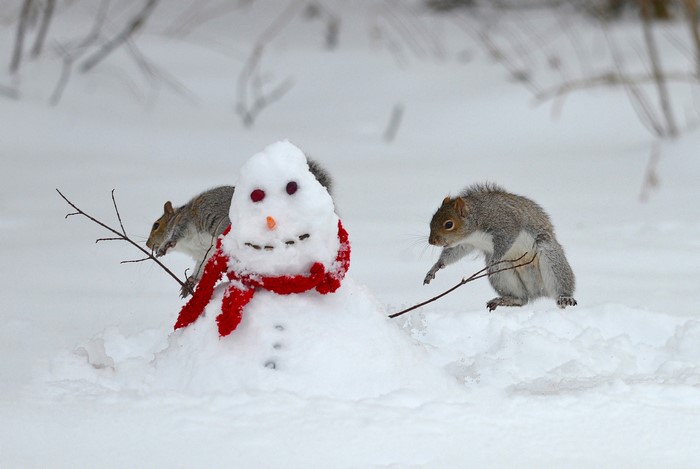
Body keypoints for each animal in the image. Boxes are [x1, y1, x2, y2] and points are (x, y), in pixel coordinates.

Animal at [147, 159, 333, 298]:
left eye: (156, 225)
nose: (148, 244)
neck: (187, 246)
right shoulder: (203, 254)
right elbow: (200, 267)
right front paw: (189, 283)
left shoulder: (186, 222)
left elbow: (176, 234)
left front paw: (165, 246)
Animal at [423, 183, 577, 311]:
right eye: (432, 219)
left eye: (449, 224)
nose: (431, 241)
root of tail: (538, 291)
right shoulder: (465, 244)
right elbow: (453, 253)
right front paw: (435, 267)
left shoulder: (505, 224)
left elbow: (506, 240)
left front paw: (495, 259)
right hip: (502, 277)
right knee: (522, 300)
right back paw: (506, 300)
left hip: (550, 257)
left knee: (559, 286)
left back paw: (565, 298)